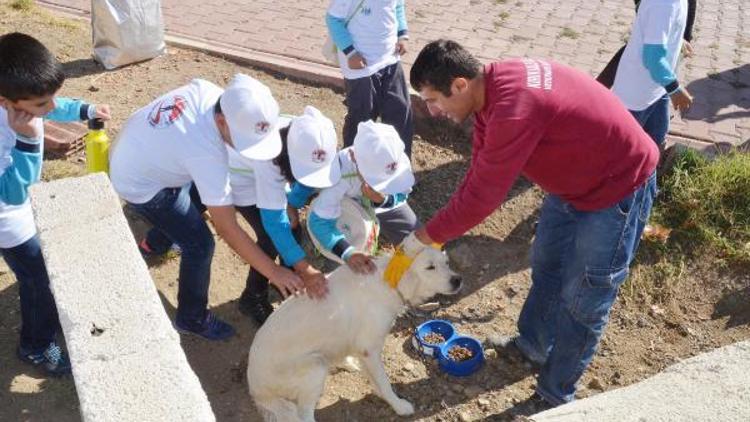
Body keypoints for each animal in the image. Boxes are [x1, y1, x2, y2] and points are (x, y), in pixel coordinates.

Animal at [247, 247, 462, 422]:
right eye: (430, 267)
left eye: (446, 263)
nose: (458, 280)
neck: (388, 281)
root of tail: (256, 389)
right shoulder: (370, 350)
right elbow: (384, 383)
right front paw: (399, 405)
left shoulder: (364, 349)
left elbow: (376, 380)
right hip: (315, 366)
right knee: (304, 415)